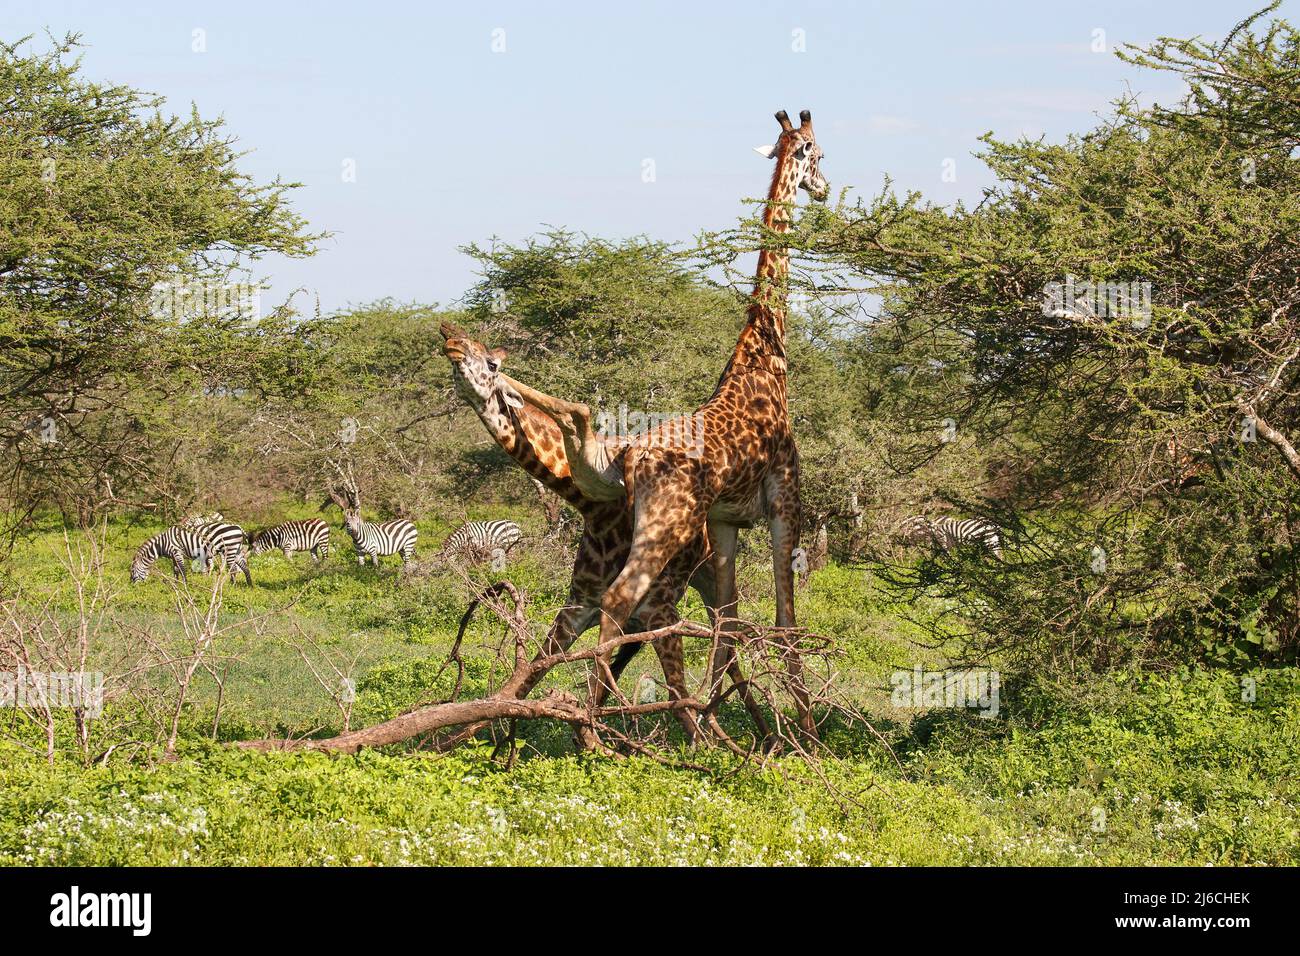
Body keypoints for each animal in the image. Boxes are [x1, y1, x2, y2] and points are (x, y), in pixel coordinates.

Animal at [439, 327, 774, 745]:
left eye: (491, 363)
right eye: (458, 356)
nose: (451, 343)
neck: (596, 507)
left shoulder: (659, 609)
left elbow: (677, 695)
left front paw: (705, 746)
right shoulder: (580, 605)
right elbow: (528, 678)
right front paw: (449, 736)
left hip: (708, 578)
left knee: (727, 638)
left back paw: (763, 732)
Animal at [516, 109, 827, 740]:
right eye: (820, 154)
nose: (828, 190)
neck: (767, 361)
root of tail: (633, 457)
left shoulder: (727, 521)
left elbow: (729, 624)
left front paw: (741, 722)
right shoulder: (785, 499)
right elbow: (785, 619)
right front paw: (803, 733)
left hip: (660, 527)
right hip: (669, 525)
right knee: (619, 601)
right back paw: (594, 726)